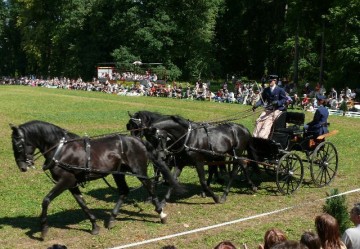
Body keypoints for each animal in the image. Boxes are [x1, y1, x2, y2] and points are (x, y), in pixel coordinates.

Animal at [10, 120, 183, 239]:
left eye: (19, 145)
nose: (22, 167)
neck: (61, 149)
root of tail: (138, 140)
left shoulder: (66, 181)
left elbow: (46, 200)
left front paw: (44, 229)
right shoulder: (72, 184)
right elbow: (82, 204)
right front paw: (94, 225)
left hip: (139, 171)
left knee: (150, 188)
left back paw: (161, 214)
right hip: (118, 172)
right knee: (123, 191)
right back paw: (111, 219)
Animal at [126, 110, 256, 203]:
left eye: (159, 137)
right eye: (130, 127)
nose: (133, 144)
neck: (187, 137)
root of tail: (243, 128)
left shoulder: (198, 161)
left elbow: (202, 181)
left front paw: (215, 198)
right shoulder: (180, 162)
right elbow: (170, 178)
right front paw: (160, 200)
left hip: (236, 154)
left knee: (235, 170)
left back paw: (224, 194)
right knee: (240, 165)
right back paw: (251, 185)